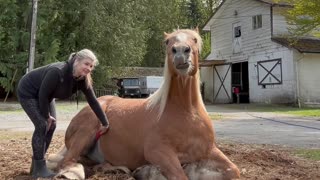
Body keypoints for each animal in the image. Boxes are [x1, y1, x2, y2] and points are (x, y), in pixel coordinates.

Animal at [48, 28, 240, 179]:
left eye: (194, 39)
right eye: (167, 41)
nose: (180, 52)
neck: (187, 113)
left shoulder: (209, 150)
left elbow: (234, 170)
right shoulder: (158, 152)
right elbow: (180, 175)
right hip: (86, 131)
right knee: (68, 162)